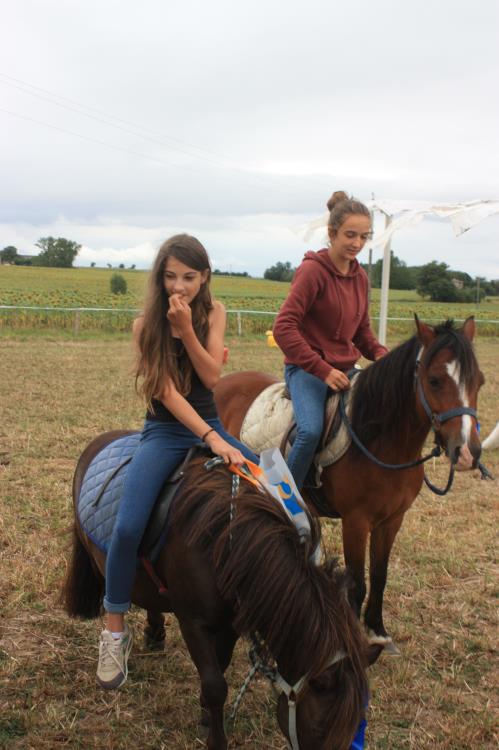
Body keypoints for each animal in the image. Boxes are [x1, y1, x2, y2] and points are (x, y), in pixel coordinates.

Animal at [63, 440, 372, 750]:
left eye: (354, 728)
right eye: (321, 731)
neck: (227, 546)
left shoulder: (230, 621)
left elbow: (219, 669)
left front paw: (205, 717)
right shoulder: (192, 621)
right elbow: (215, 684)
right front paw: (216, 737)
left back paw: (155, 633)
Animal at [215, 318, 484, 652]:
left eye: (479, 382)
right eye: (434, 381)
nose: (467, 452)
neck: (379, 441)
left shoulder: (391, 521)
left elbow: (380, 575)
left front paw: (378, 630)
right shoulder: (356, 522)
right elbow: (357, 583)